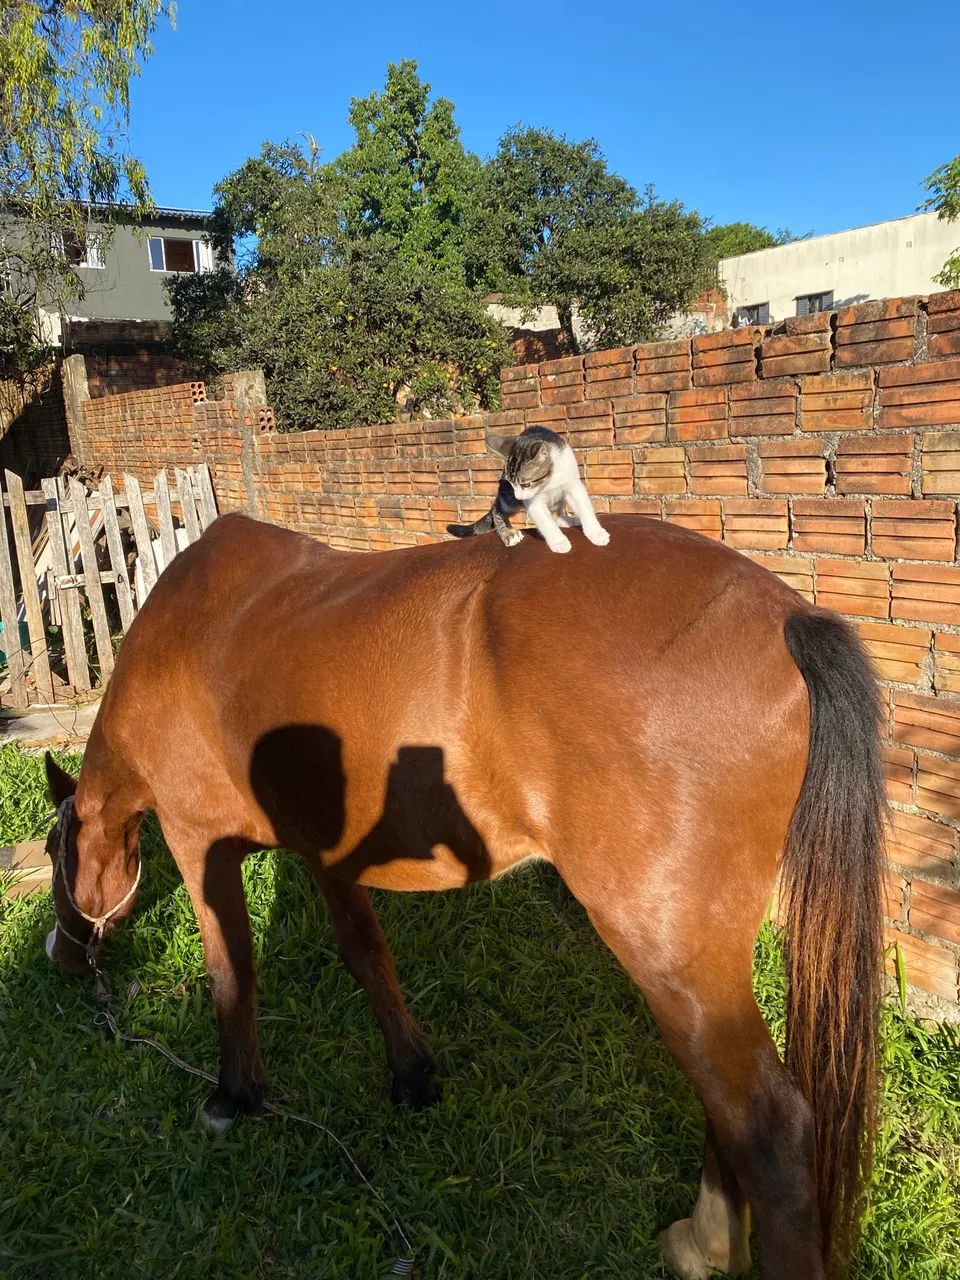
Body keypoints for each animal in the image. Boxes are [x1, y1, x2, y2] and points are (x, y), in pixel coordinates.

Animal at [43, 511, 885, 1280]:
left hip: (670, 954)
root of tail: (786, 620)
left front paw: (233, 1095)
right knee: (727, 1106)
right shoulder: (327, 851)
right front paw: (412, 1074)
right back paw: (704, 1243)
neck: (183, 633)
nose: (63, 957)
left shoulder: (198, 843)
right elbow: (366, 954)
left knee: (768, 1129)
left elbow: (233, 971)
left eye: (56, 850)